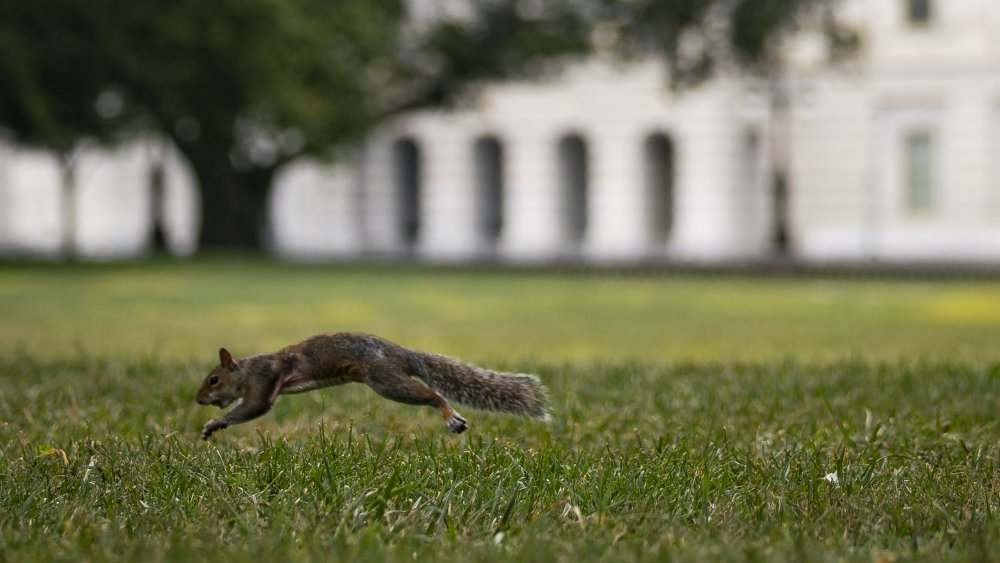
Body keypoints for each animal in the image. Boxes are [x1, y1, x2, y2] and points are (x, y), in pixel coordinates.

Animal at [193, 332, 556, 442]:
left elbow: (254, 406)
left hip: (385, 380)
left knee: (432, 395)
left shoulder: (264, 381)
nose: (198, 400)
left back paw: (450, 416)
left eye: (214, 379)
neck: (246, 369)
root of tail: (403, 353)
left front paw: (214, 423)